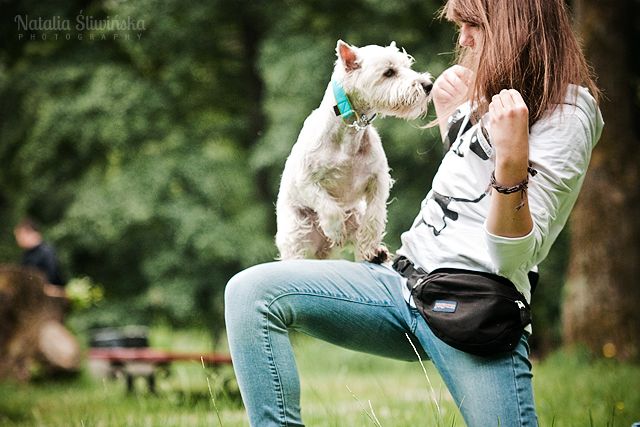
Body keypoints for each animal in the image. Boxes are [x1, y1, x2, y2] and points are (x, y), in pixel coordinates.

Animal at [275, 40, 432, 262]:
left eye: (407, 66)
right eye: (389, 72)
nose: (428, 85)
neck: (351, 131)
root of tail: (322, 251)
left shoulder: (378, 181)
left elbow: (374, 217)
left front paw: (369, 249)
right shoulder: (306, 181)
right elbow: (328, 206)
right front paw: (336, 231)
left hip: (354, 215)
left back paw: (377, 253)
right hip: (296, 229)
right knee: (297, 251)